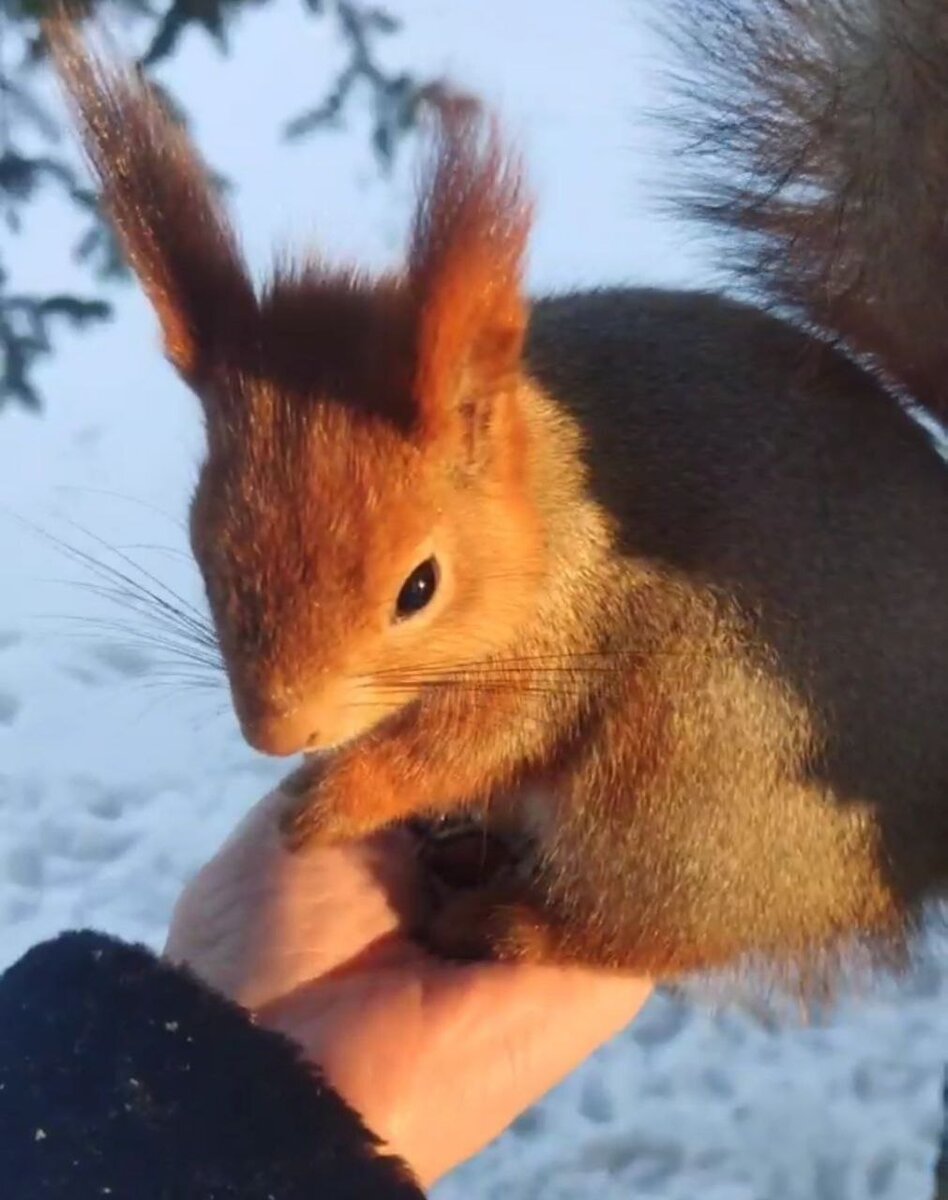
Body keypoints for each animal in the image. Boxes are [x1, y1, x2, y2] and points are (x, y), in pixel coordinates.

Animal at [44, 0, 948, 988]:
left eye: (420, 587)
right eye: (203, 547)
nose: (280, 734)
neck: (544, 510)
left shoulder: (577, 631)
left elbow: (479, 738)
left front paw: (340, 798)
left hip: (694, 788)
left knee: (636, 926)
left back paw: (504, 924)